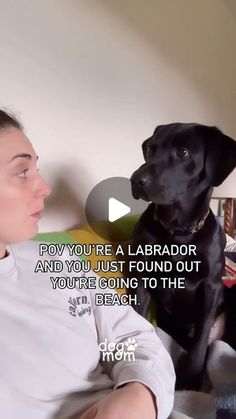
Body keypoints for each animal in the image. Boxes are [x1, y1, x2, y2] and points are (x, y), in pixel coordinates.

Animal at [130, 122, 236, 390]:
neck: (178, 231)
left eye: (183, 152)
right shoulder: (142, 276)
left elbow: (200, 342)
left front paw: (190, 380)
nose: (135, 180)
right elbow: (138, 317)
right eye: (150, 148)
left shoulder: (210, 286)